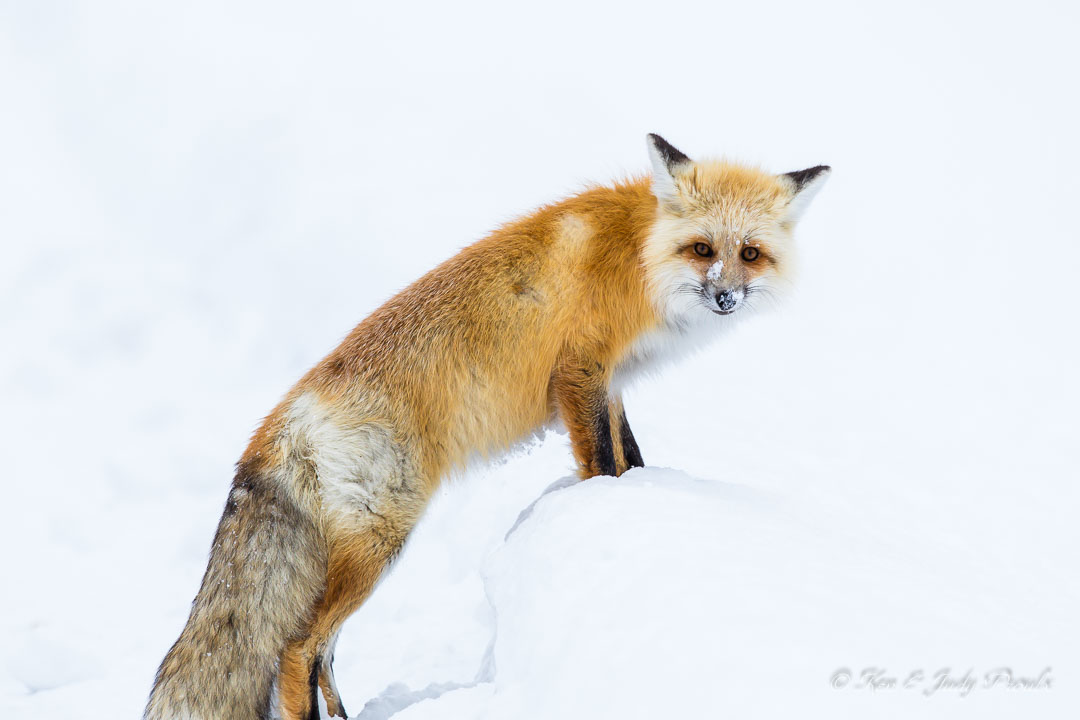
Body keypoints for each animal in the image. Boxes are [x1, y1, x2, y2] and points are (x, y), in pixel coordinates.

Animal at [143, 134, 829, 720]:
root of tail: (283, 418)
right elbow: (601, 462)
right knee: (297, 649)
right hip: (382, 538)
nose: (724, 298)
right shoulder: (581, 368)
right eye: (703, 249)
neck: (642, 256)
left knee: (323, 653)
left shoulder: (610, 384)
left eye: (749, 254)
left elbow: (629, 456)